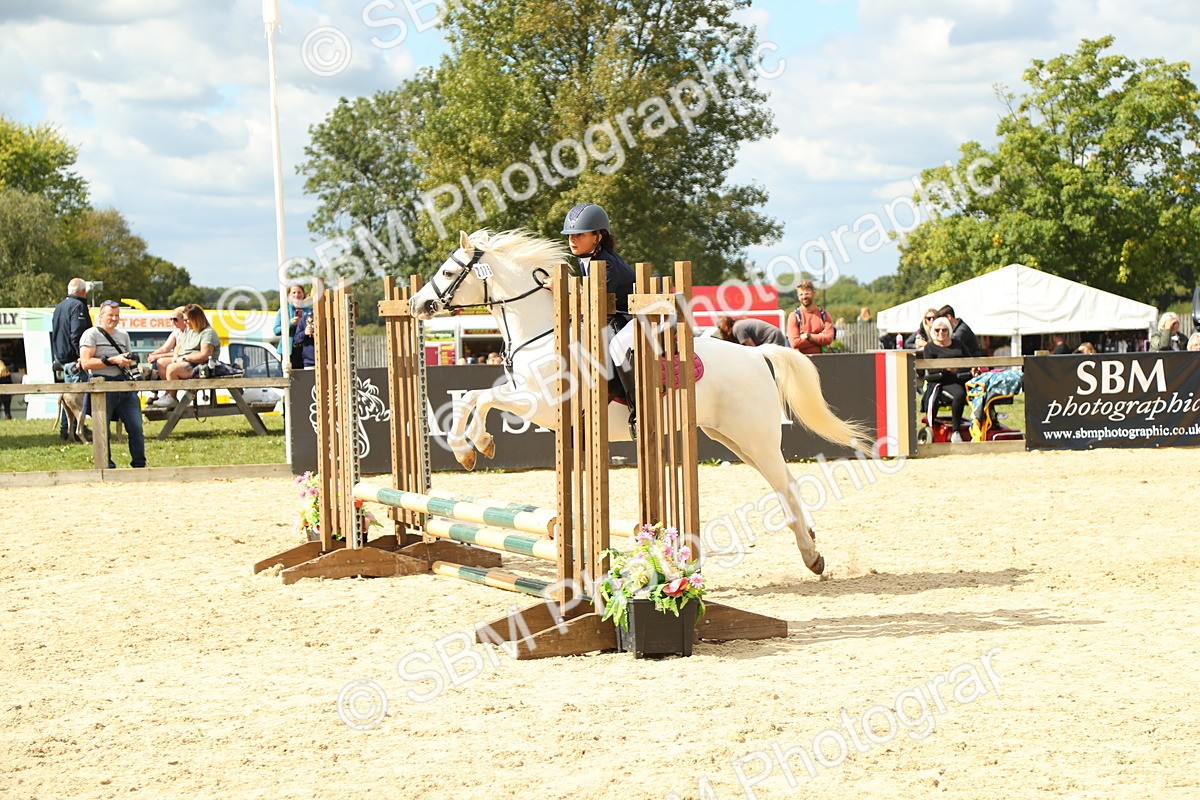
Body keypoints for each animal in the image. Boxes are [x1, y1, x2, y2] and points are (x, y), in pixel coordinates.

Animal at [409, 229, 872, 575]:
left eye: (448, 270)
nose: (417, 304)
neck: (542, 333)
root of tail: (756, 355)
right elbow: (474, 398)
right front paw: (472, 447)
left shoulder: (536, 403)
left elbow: (479, 399)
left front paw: (473, 448)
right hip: (733, 439)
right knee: (785, 483)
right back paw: (812, 548)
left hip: (753, 436)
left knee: (785, 484)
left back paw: (811, 556)